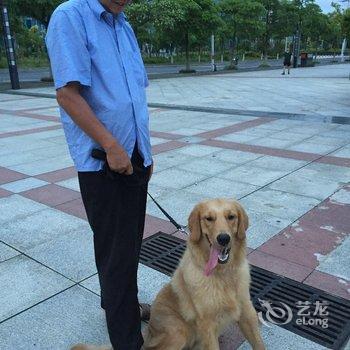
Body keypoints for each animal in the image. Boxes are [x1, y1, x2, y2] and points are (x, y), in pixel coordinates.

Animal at [71, 198, 264, 348]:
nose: (223, 238)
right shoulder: (207, 324)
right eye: (209, 218)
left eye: (231, 217)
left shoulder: (247, 313)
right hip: (179, 332)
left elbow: (259, 344)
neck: (223, 274)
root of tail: (148, 331)